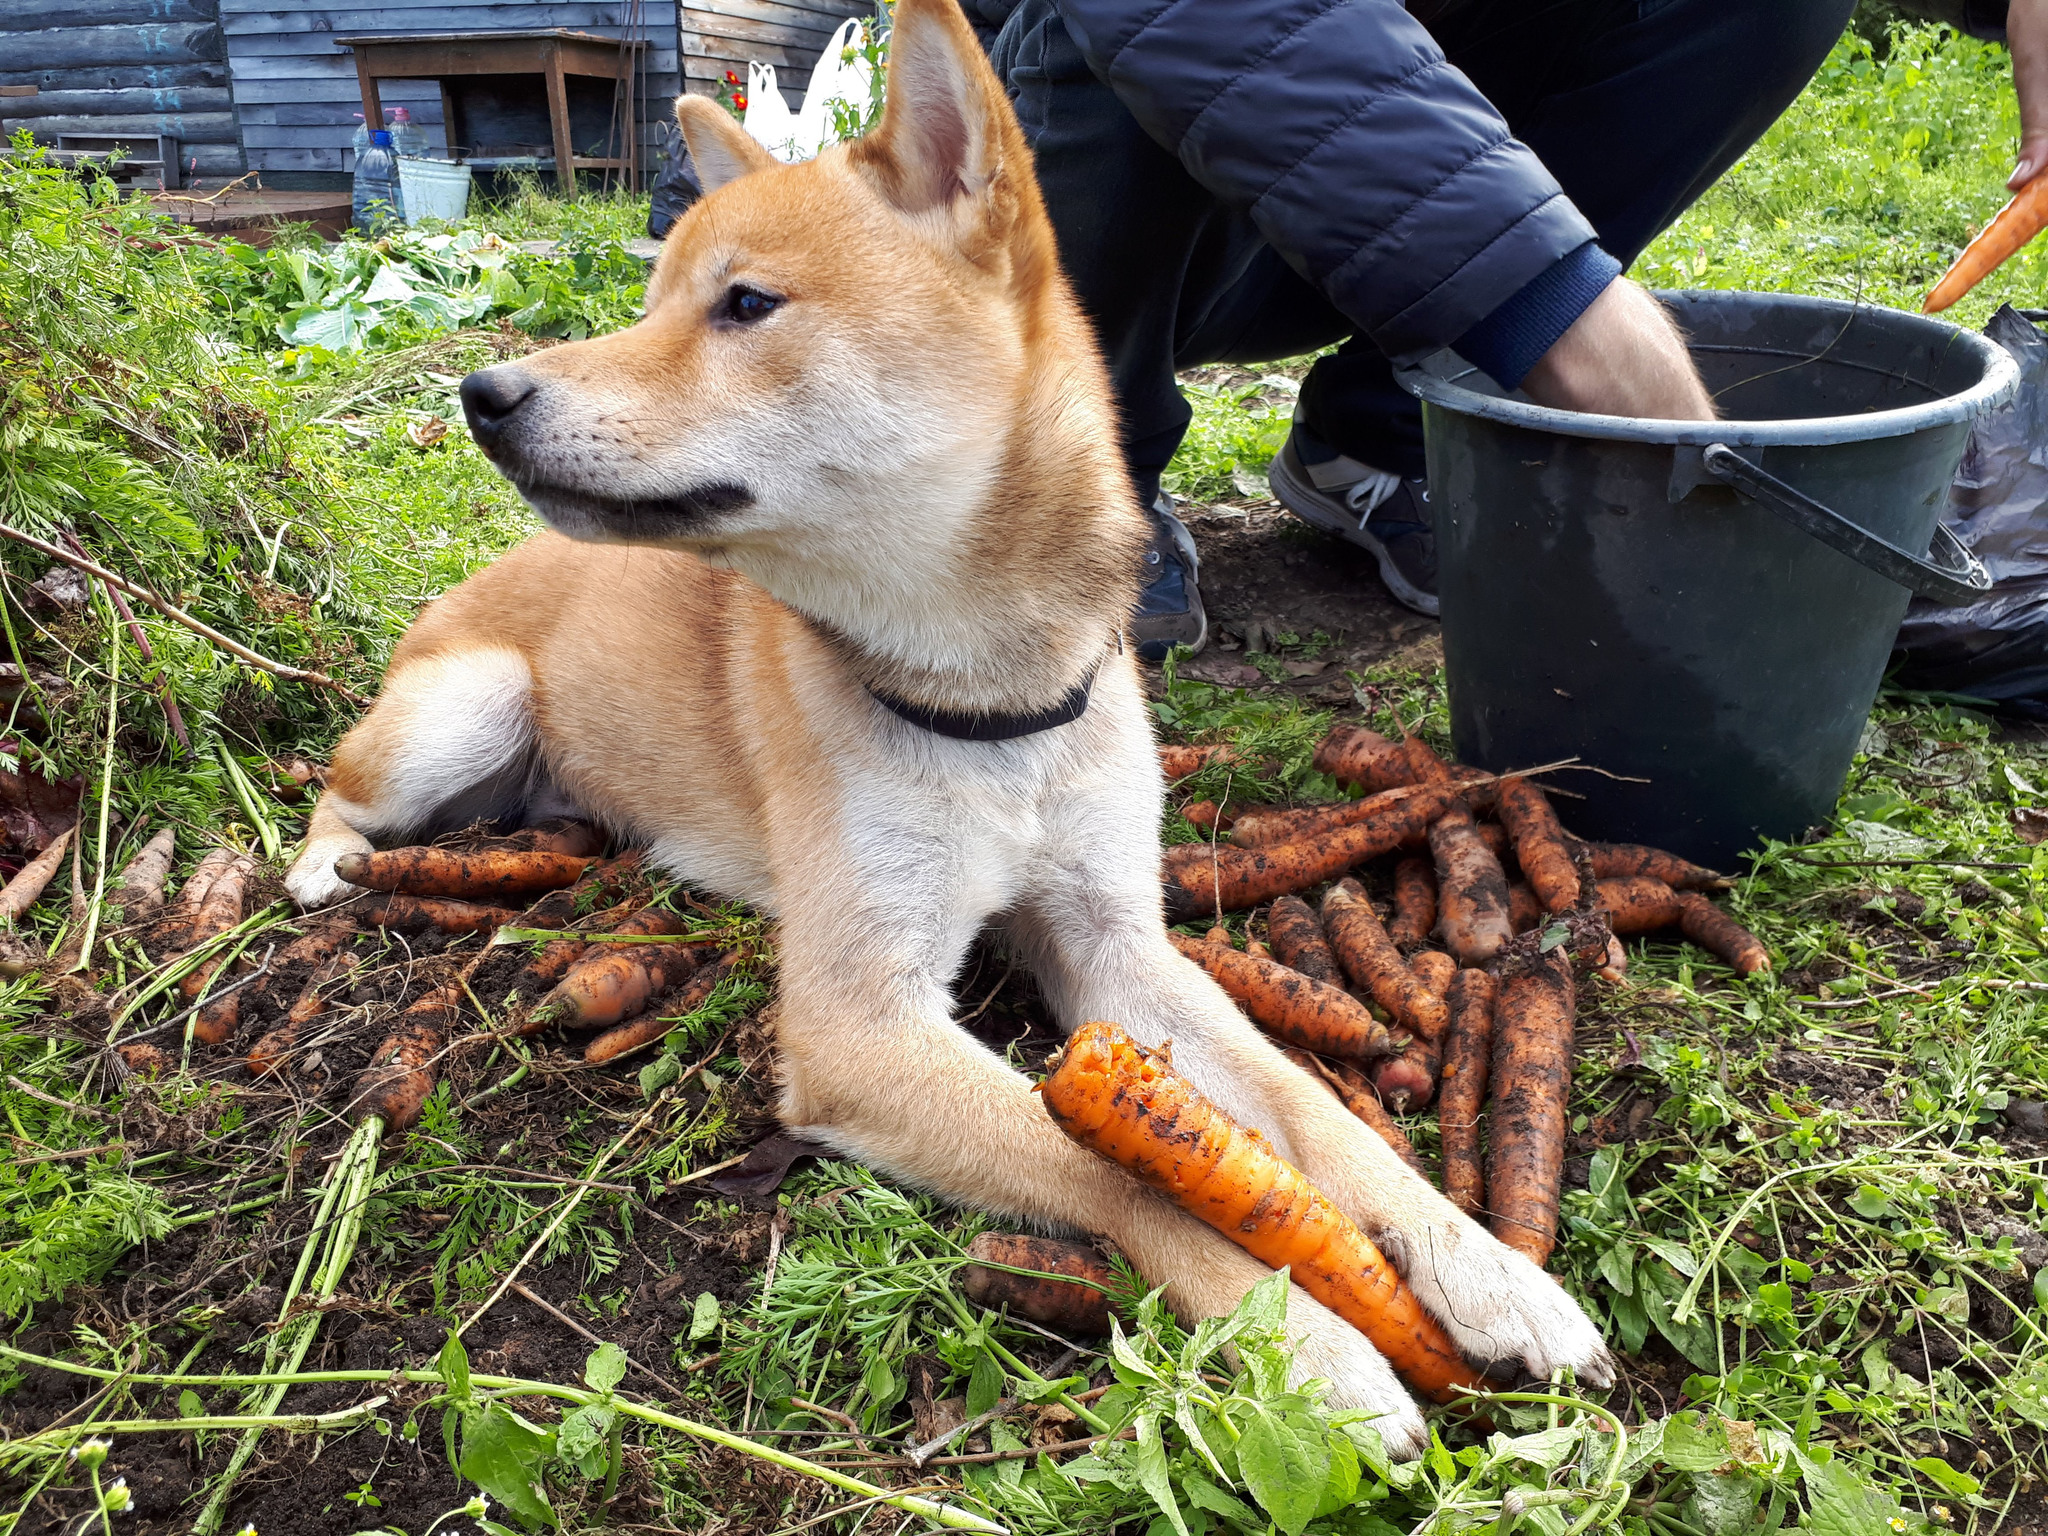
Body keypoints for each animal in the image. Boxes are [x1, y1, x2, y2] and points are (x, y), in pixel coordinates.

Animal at [288, 0, 1605, 1449]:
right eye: (648, 305)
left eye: (742, 305)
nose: (484, 394)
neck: (993, 715)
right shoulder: (858, 1026)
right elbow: (1122, 1175)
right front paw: (1307, 1345)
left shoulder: (1120, 946)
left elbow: (1315, 1117)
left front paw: (1488, 1269)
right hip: (465, 710)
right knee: (332, 786)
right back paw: (323, 867)